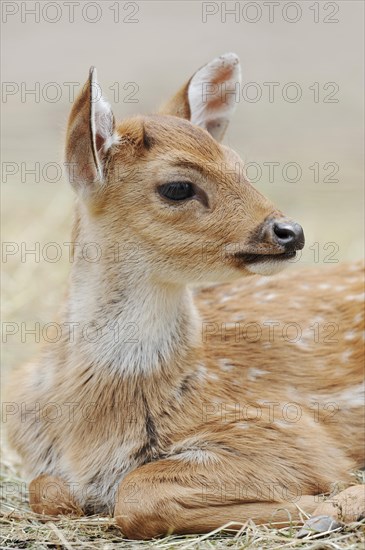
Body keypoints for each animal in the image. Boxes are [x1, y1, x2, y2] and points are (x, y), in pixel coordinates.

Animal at [6, 55, 364, 540]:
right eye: (177, 187)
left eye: (239, 165)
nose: (290, 232)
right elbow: (47, 492)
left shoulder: (290, 432)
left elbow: (136, 493)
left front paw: (334, 504)